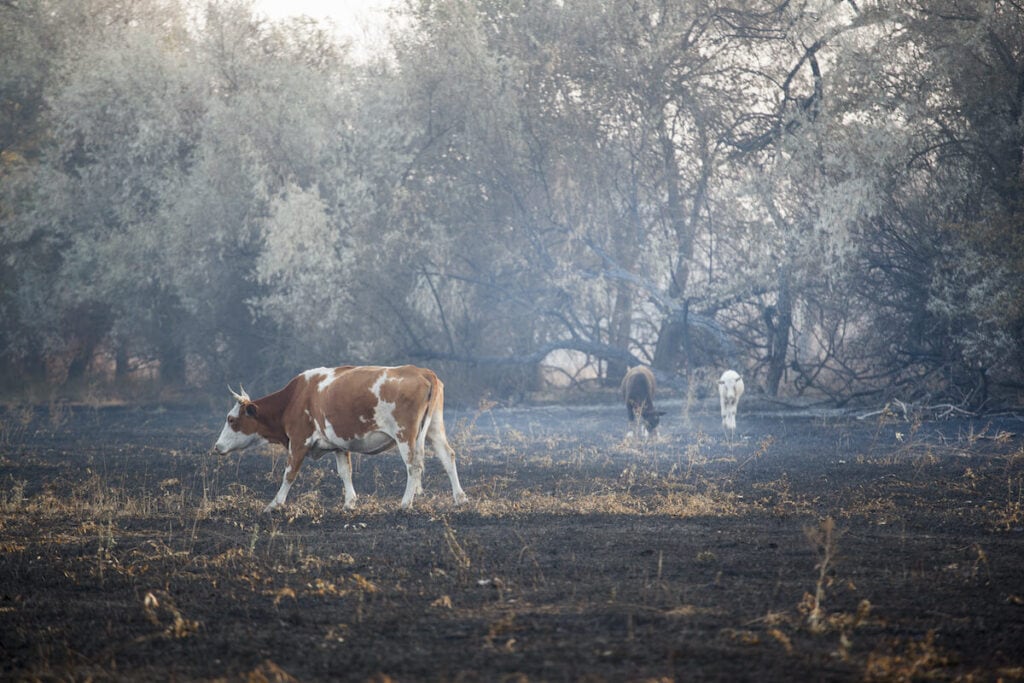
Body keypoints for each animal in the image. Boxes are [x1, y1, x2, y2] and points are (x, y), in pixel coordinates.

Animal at [217, 366, 471, 509]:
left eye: (231, 419)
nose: (217, 446)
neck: (295, 397)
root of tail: (423, 372)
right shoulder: (338, 443)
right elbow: (344, 472)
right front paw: (350, 502)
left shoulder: (299, 441)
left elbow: (289, 473)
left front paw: (275, 504)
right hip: (434, 429)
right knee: (448, 456)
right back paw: (460, 498)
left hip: (405, 435)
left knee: (413, 466)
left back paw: (405, 503)